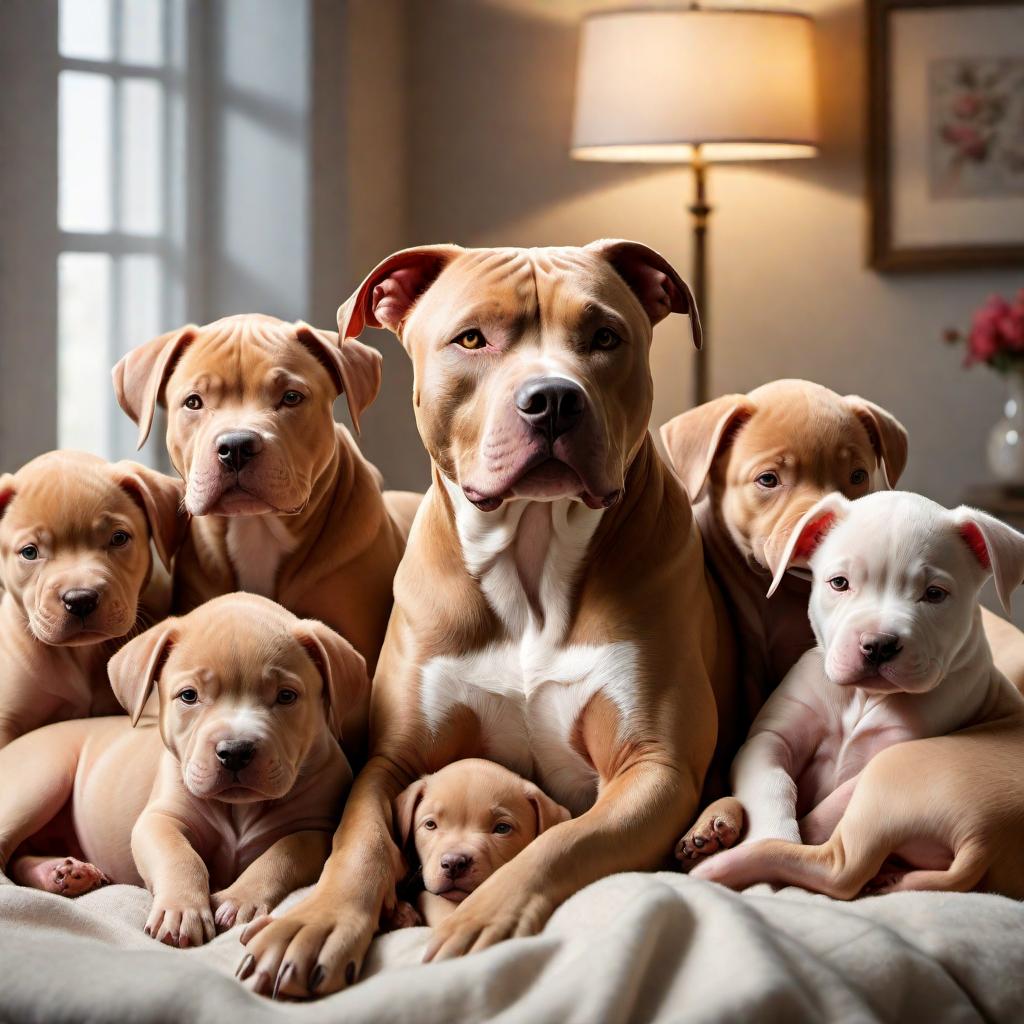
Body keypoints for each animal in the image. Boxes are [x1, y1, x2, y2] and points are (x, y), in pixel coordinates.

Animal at [0, 593, 368, 950]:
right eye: (189, 696)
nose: (235, 751)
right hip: (40, 781)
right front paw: (181, 911)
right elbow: (179, 857)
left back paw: (61, 873)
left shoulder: (315, 830)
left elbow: (283, 854)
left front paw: (239, 899)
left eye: (287, 696)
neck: (239, 808)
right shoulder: (159, 818)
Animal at [679, 491, 1024, 892]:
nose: (878, 645)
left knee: (840, 864)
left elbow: (831, 806)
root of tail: (983, 841)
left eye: (935, 594)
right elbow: (773, 785)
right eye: (839, 583)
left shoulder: (893, 749)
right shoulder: (769, 740)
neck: (860, 698)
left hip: (894, 773)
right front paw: (772, 831)